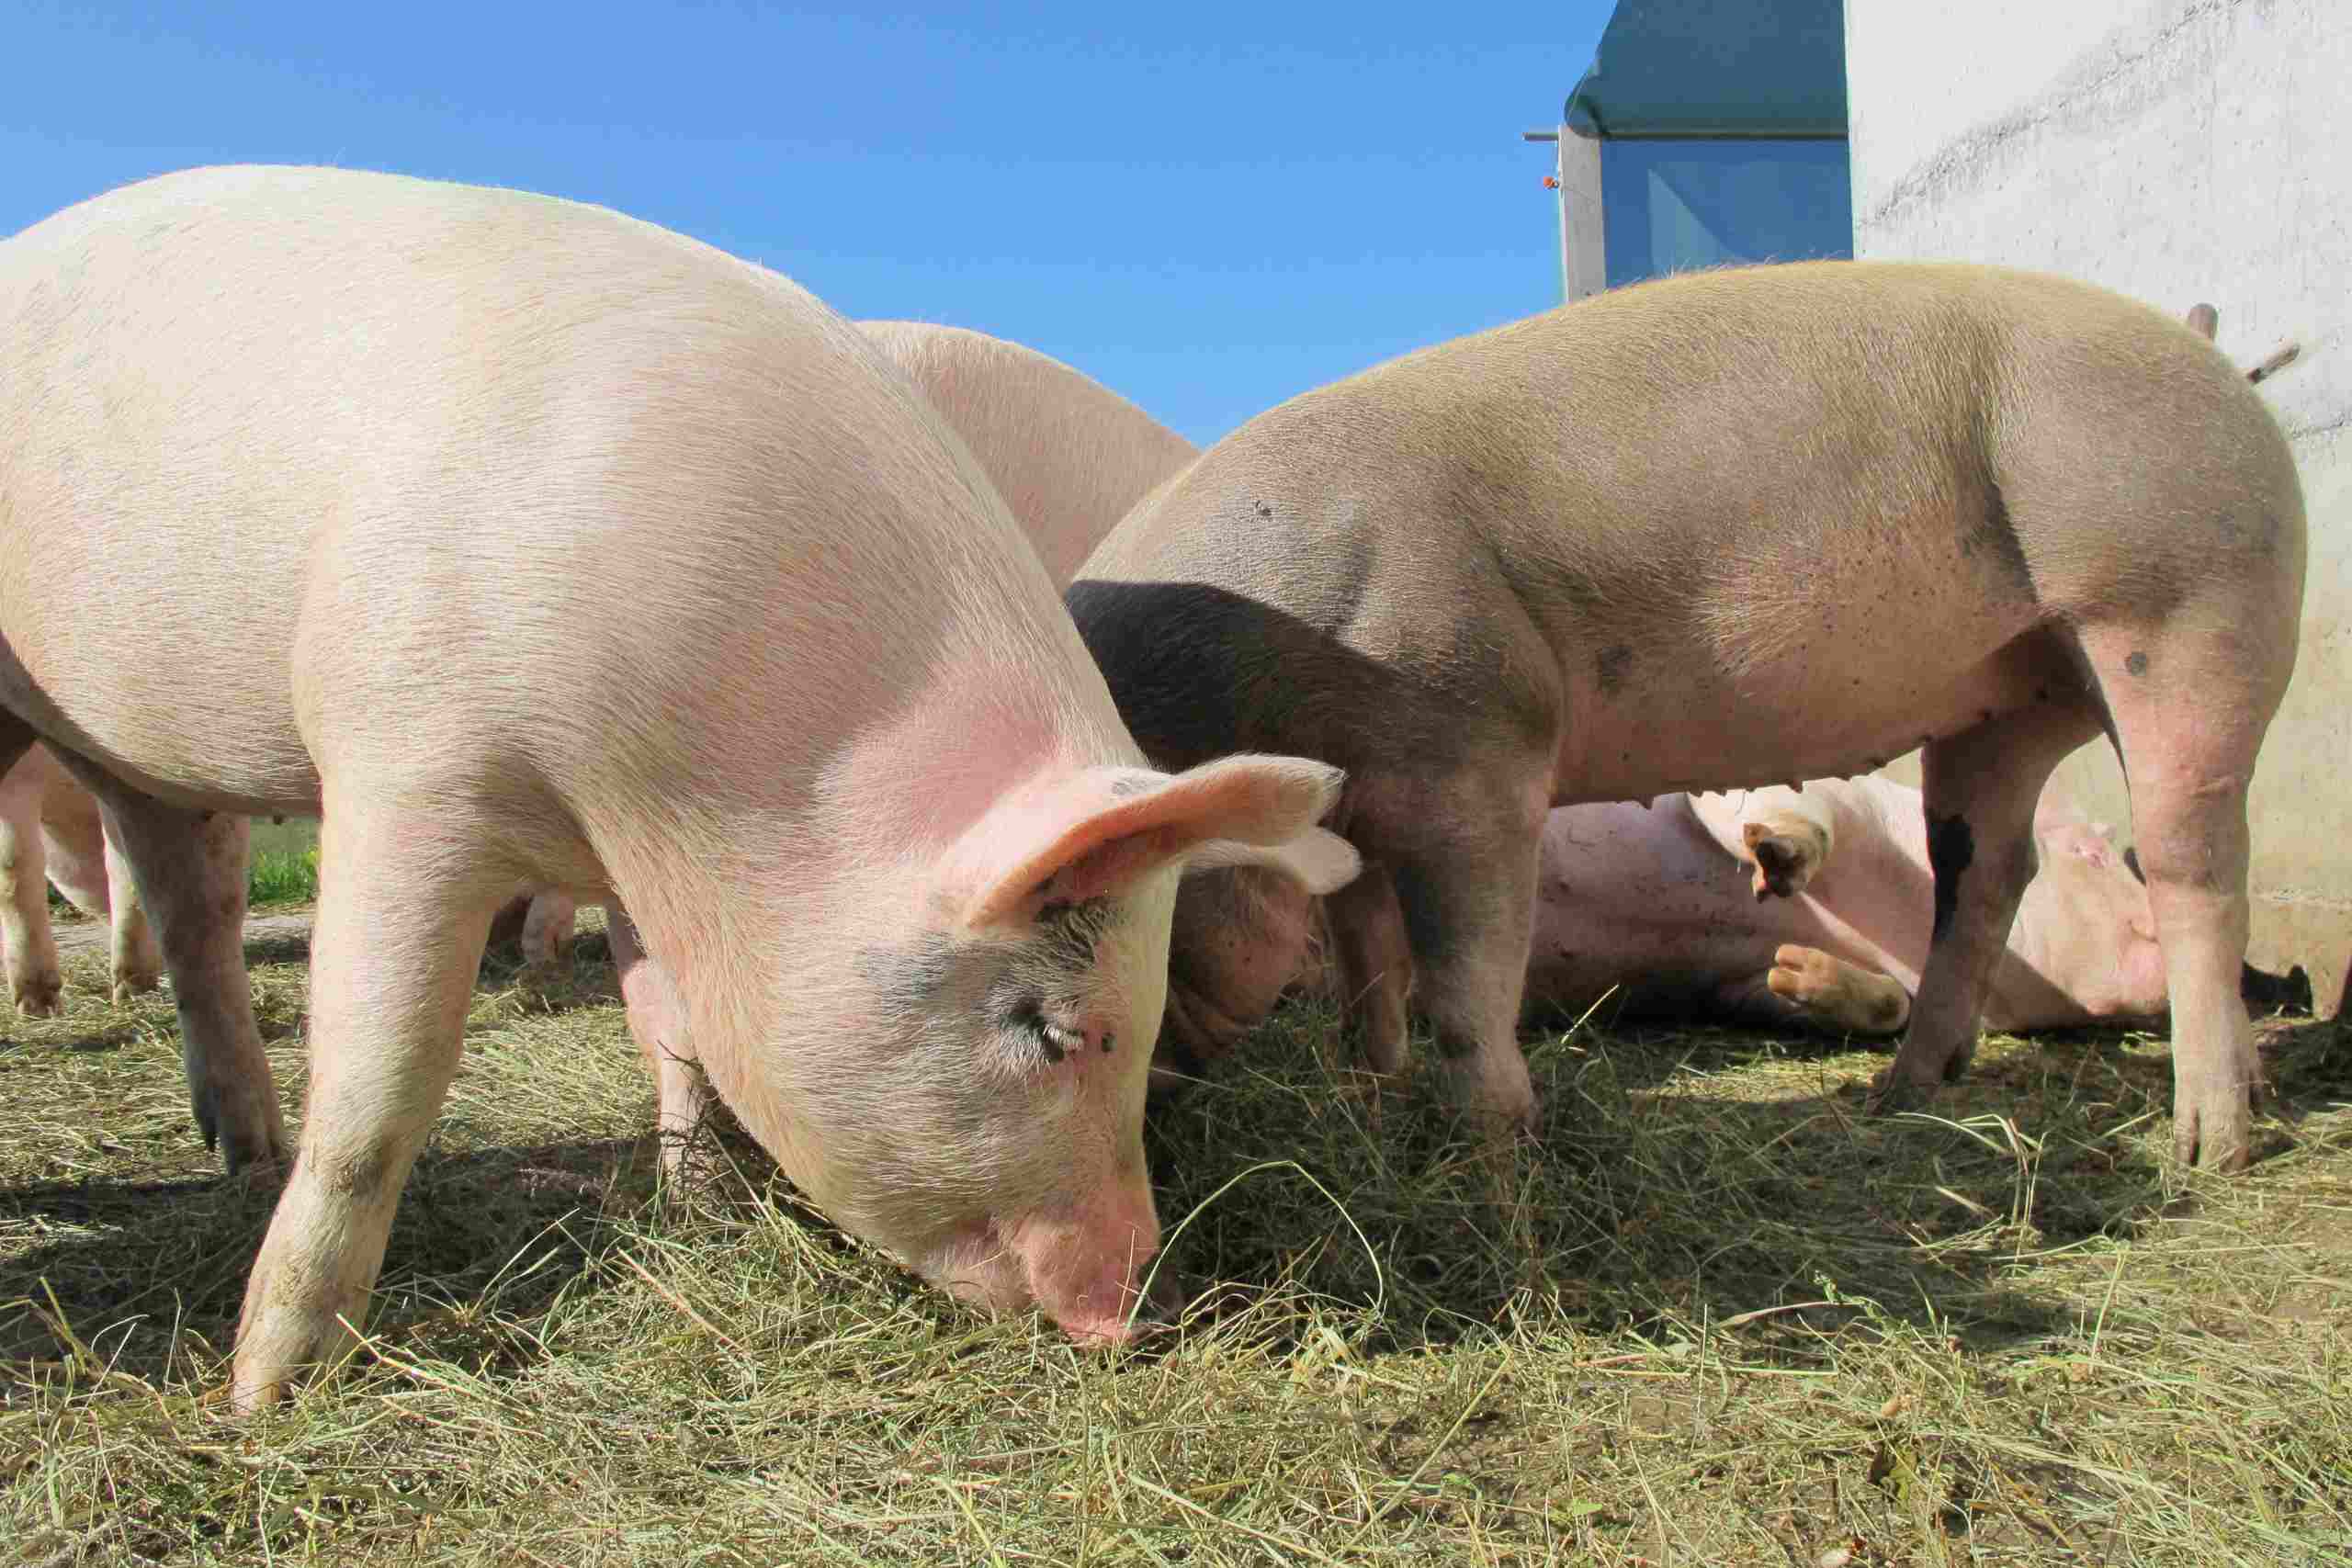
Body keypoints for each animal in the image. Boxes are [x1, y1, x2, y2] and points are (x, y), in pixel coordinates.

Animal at [1070, 260, 2305, 1171]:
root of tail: (2220, 369)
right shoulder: (1362, 806)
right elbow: (1367, 962)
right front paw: (1373, 1098)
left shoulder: (1468, 748)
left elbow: (1465, 976)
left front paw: (1493, 1151)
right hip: (2012, 693)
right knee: (1985, 873)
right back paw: (1900, 1096)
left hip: (2182, 603)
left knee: (2198, 862)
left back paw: (2209, 1147)